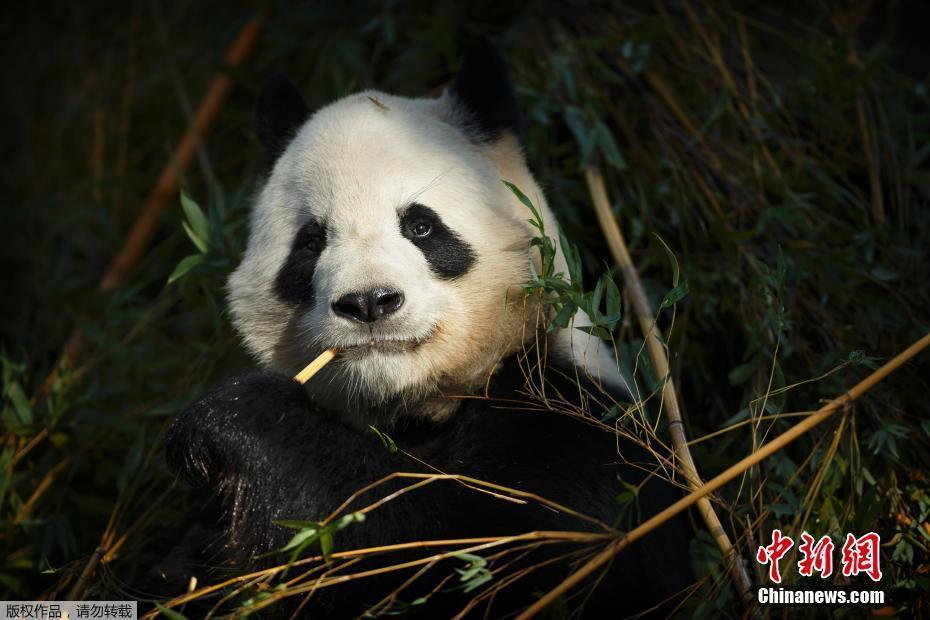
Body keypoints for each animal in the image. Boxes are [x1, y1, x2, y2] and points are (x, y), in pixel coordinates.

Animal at [160, 41, 692, 616]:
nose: (369, 302)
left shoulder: (579, 434)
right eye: (311, 242)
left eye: (420, 226)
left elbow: (457, 550)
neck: (414, 409)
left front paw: (228, 421)